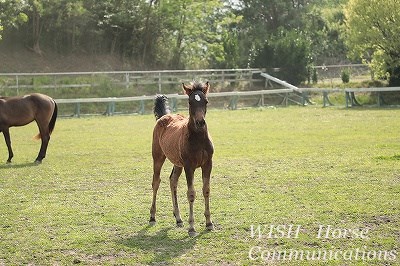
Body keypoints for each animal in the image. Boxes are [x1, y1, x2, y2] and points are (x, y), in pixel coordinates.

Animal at [150, 81, 214, 237]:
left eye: (206, 101)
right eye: (190, 102)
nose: (200, 122)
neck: (198, 139)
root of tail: (164, 116)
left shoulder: (208, 164)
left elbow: (206, 190)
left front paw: (209, 223)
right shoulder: (189, 166)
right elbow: (191, 193)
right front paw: (192, 228)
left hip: (177, 163)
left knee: (172, 180)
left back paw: (178, 218)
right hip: (158, 157)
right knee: (156, 182)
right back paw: (152, 217)